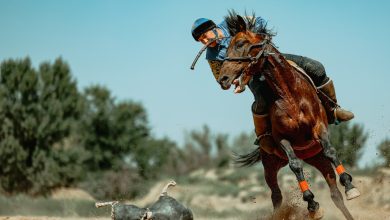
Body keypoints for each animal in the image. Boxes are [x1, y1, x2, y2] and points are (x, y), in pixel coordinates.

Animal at [216, 12, 360, 220]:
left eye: (240, 43)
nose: (223, 79)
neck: (289, 94)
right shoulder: (283, 139)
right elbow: (295, 165)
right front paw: (311, 203)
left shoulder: (319, 127)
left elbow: (331, 151)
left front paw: (349, 185)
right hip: (270, 164)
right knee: (276, 195)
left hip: (316, 157)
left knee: (335, 193)